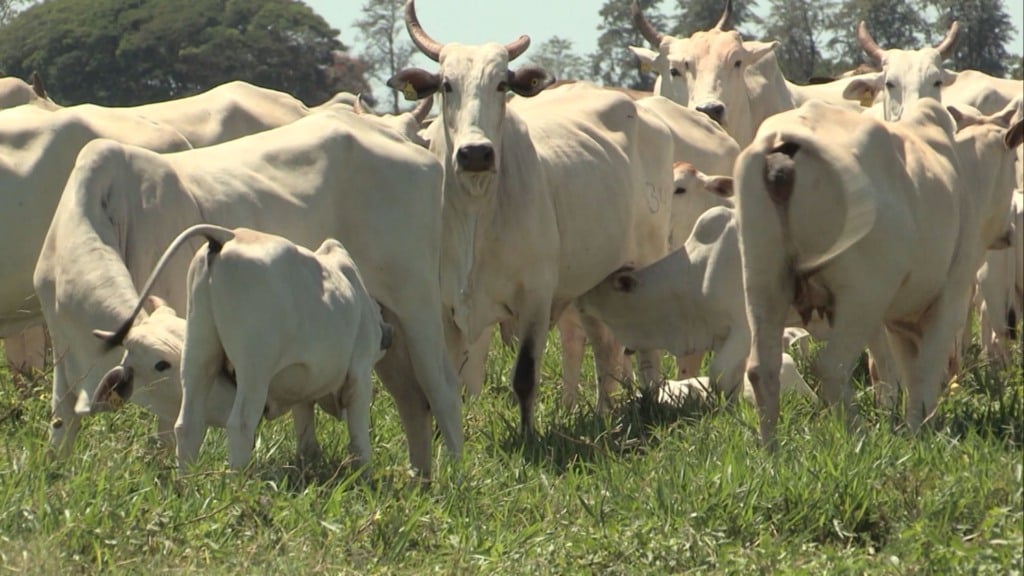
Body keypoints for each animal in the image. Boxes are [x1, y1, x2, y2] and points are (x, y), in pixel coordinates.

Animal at [92, 225, 389, 472]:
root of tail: (229, 235)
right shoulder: (360, 371)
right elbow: (359, 436)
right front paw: (363, 475)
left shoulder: (303, 388)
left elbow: (306, 431)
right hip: (254, 366)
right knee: (241, 423)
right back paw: (238, 484)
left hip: (199, 350)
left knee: (188, 425)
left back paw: (186, 482)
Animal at [387, 0, 679, 427]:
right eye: (446, 85)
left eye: (501, 84)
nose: (476, 153)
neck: (475, 210)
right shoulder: (444, 307)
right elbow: (445, 384)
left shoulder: (534, 301)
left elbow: (524, 377)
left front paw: (528, 434)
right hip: (593, 281)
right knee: (604, 348)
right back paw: (603, 413)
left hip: (646, 261)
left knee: (645, 347)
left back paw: (651, 401)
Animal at [736, 98, 1023, 445]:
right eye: (1014, 160)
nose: (1009, 232)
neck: (965, 176)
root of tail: (783, 147)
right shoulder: (950, 299)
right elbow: (926, 370)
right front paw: (918, 432)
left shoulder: (900, 318)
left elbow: (911, 373)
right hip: (862, 299)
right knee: (831, 368)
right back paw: (860, 436)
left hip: (762, 282)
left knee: (761, 369)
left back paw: (770, 449)